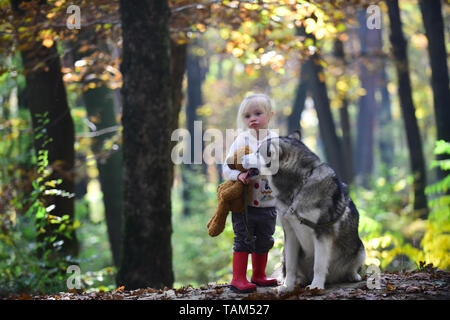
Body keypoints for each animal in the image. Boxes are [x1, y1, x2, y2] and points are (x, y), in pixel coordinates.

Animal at [243, 131, 366, 292]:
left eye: (258, 152)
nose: (240, 158)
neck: (298, 187)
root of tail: (333, 278)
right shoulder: (289, 232)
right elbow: (290, 265)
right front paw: (288, 286)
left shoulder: (322, 232)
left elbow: (319, 265)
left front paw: (316, 286)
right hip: (285, 253)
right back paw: (299, 280)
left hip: (360, 249)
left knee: (351, 266)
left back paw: (352, 275)